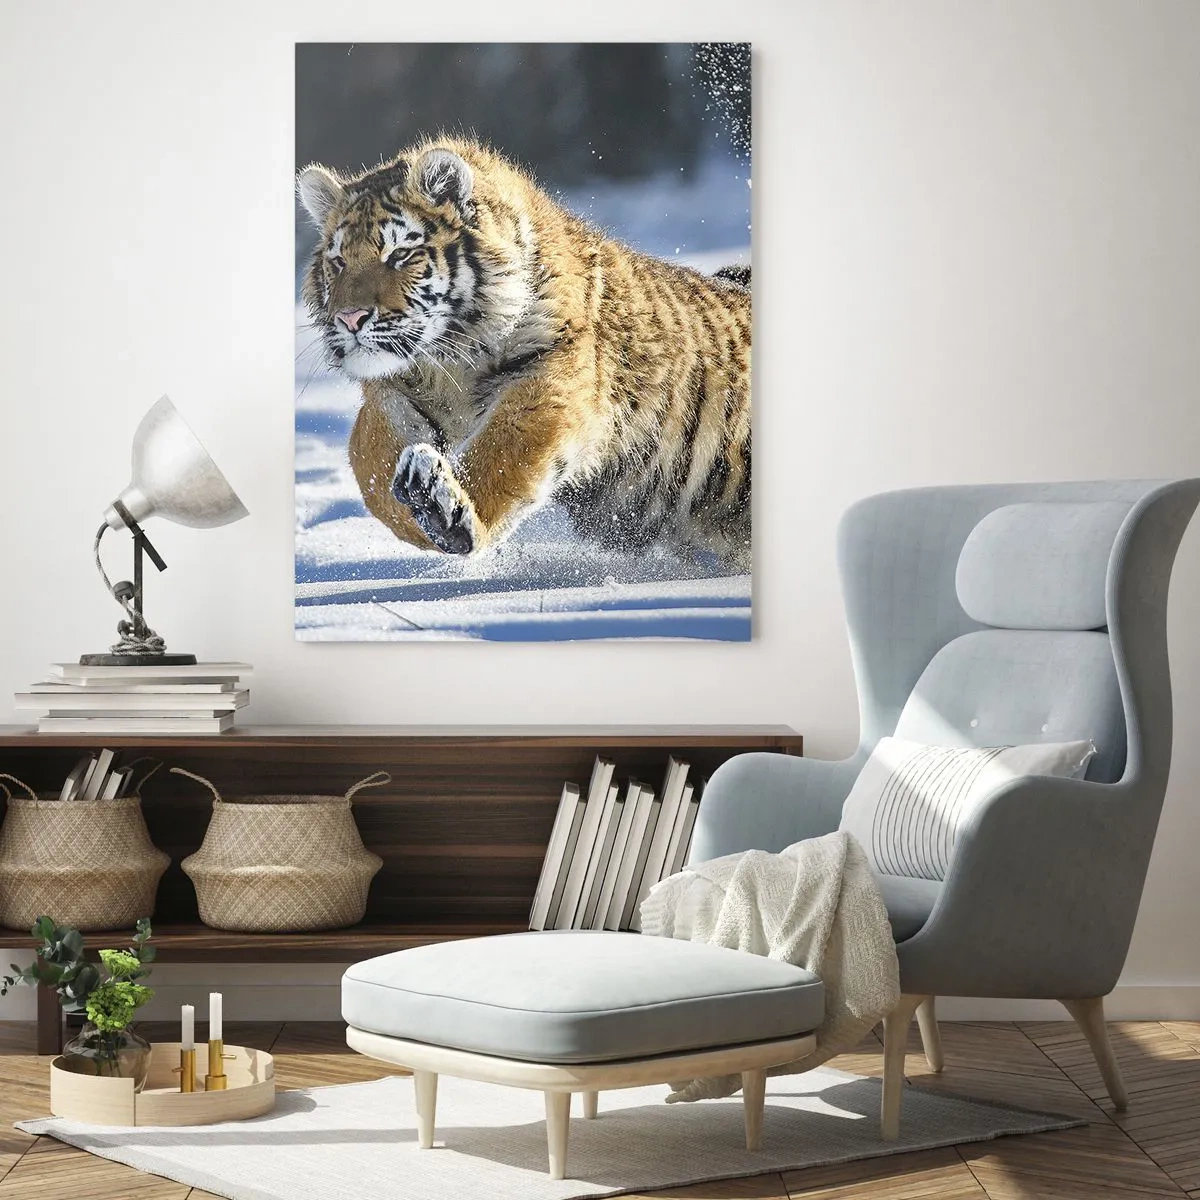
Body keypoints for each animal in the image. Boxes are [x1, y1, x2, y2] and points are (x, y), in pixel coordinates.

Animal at [297, 136, 751, 571]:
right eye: (338, 261)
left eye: (401, 254)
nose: (349, 318)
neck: (446, 362)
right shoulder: (390, 393)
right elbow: (370, 466)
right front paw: (417, 508)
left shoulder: (549, 380)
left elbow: (502, 455)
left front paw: (448, 514)